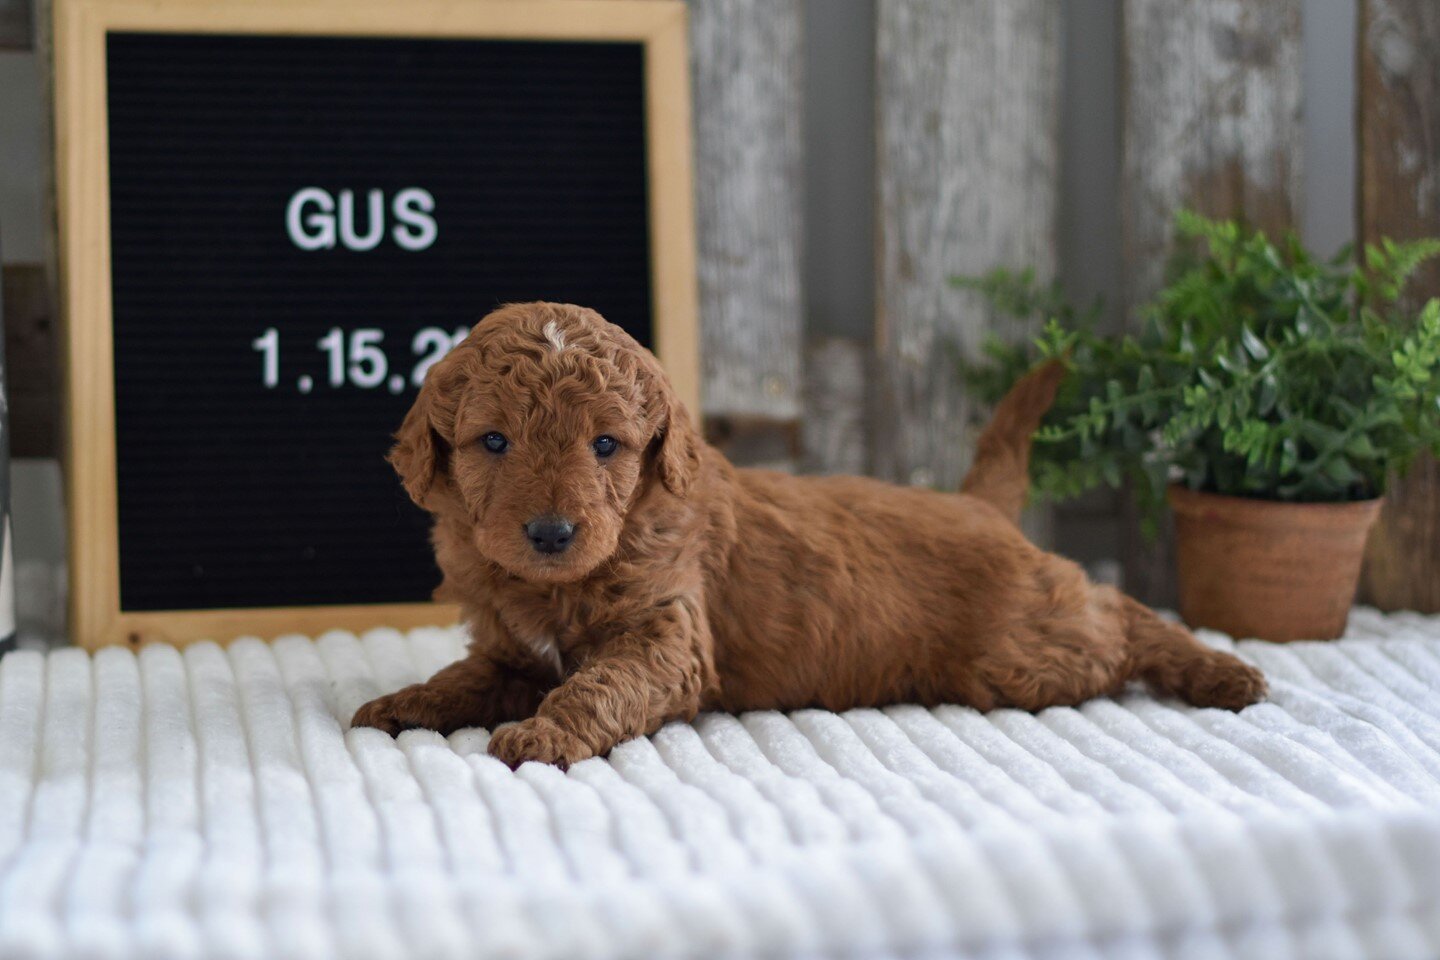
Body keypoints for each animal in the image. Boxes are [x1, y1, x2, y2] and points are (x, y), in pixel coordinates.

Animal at [354, 300, 1267, 765]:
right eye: (493, 442)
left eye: (606, 445)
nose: (549, 532)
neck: (559, 585)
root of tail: (977, 504)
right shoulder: (511, 652)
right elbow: (464, 678)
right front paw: (403, 704)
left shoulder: (665, 635)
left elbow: (598, 684)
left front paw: (545, 732)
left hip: (1025, 650)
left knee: (1117, 612)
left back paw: (1223, 671)